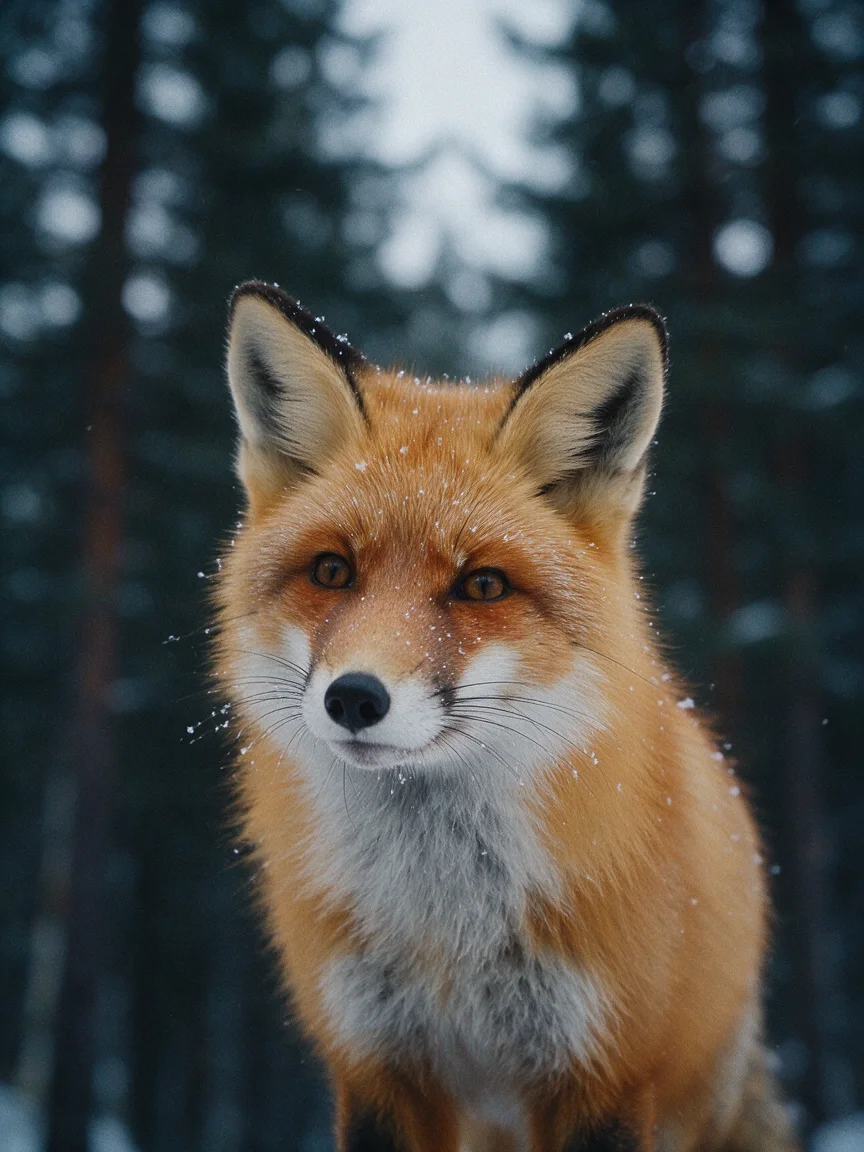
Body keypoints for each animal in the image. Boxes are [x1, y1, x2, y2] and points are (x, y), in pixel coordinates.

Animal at [212, 280, 798, 1152]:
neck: (445, 929)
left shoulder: (605, 1073)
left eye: (482, 585)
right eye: (332, 571)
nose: (354, 698)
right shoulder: (377, 1067)